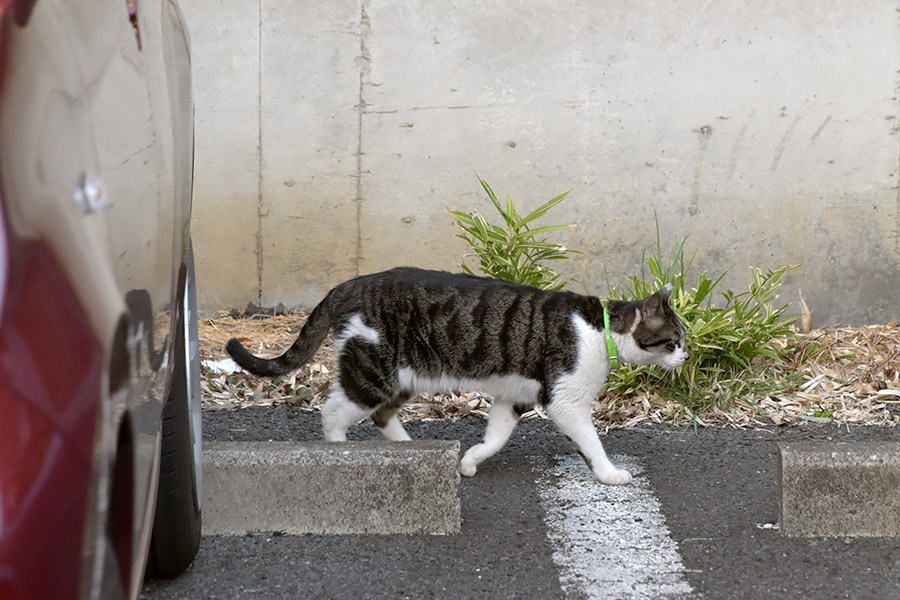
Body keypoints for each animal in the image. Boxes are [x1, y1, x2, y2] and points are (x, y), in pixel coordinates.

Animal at [227, 270, 688, 486]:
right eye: (673, 341)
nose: (688, 354)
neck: (602, 330)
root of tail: (349, 284)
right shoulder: (566, 401)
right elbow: (592, 443)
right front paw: (610, 473)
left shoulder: (513, 398)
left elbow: (495, 438)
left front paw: (469, 461)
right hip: (375, 370)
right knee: (334, 413)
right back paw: (343, 455)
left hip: (406, 377)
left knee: (381, 416)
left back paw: (411, 452)